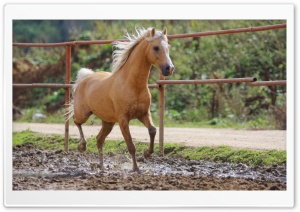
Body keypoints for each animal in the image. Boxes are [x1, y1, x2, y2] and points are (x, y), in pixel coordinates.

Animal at [67, 27, 175, 171]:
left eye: (168, 47)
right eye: (156, 47)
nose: (169, 68)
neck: (132, 85)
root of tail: (85, 78)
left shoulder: (143, 114)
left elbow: (152, 130)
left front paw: (147, 153)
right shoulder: (123, 120)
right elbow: (131, 145)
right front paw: (136, 168)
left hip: (108, 122)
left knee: (99, 139)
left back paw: (101, 166)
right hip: (83, 113)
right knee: (76, 121)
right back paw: (82, 146)